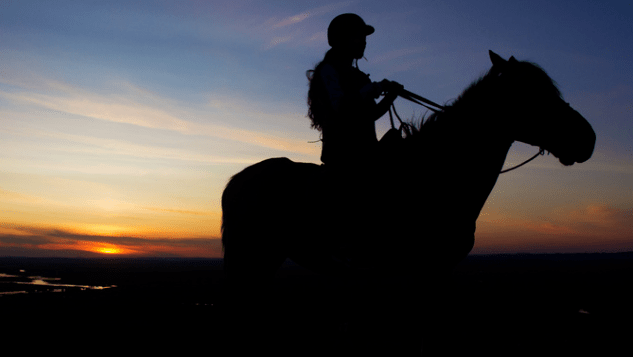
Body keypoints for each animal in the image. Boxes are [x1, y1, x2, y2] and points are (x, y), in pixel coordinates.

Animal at [220, 51, 596, 354]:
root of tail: (237, 181)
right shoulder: (426, 269)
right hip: (253, 256)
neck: (434, 173)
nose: (588, 139)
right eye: (535, 94)